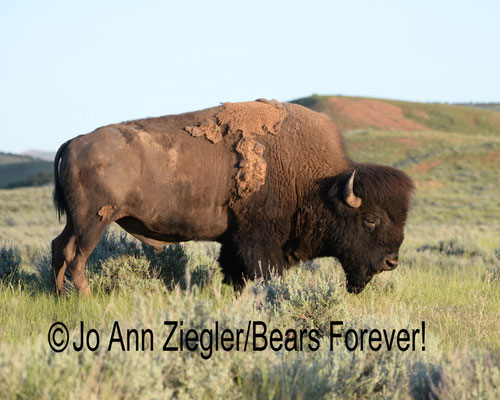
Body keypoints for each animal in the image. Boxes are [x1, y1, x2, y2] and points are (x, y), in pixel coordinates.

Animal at [51, 99, 414, 296]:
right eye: (370, 219)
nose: (391, 262)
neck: (316, 182)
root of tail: (74, 141)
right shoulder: (259, 241)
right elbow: (264, 275)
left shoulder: (234, 240)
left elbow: (235, 275)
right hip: (93, 221)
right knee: (76, 256)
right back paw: (86, 298)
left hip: (76, 220)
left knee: (58, 247)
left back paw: (58, 295)